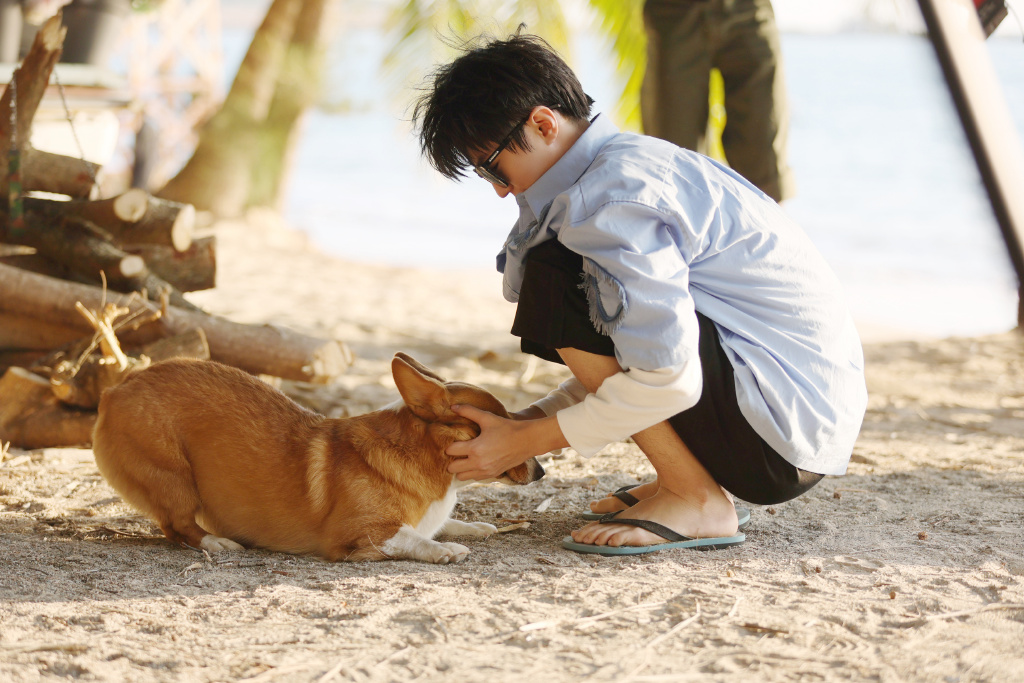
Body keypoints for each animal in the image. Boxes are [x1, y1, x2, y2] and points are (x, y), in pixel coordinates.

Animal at [90, 356, 544, 565]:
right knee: (178, 526)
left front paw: (475, 527)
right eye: (500, 423)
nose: (542, 471)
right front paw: (445, 550)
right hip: (174, 477)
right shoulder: (362, 536)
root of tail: (116, 389)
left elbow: (441, 524)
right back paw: (216, 542)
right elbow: (415, 539)